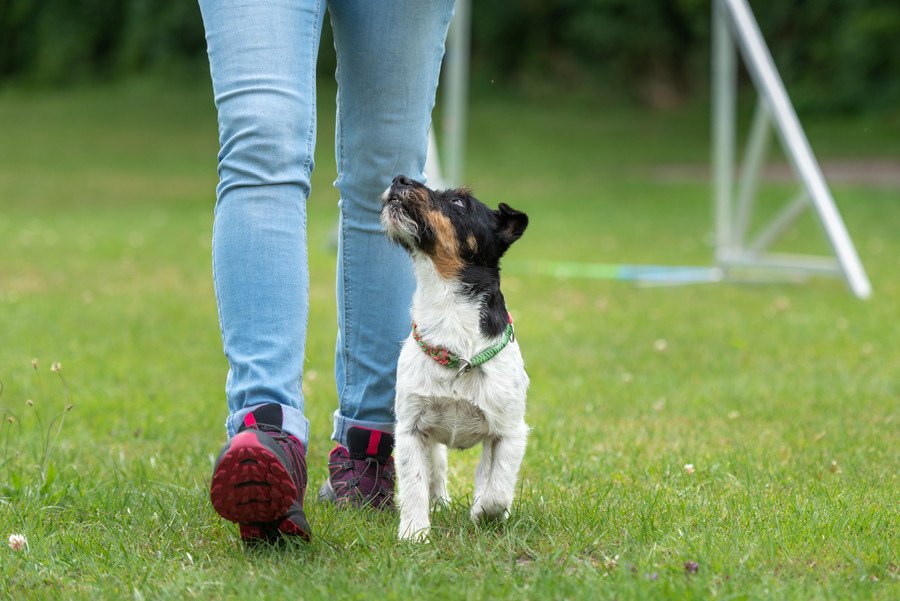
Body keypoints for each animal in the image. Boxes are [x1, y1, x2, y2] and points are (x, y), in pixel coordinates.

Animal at [378, 175, 528, 544]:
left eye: (459, 203)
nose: (399, 178)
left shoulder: (510, 432)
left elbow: (497, 488)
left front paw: (483, 512)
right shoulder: (411, 429)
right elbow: (414, 485)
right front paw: (414, 533)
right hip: (433, 443)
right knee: (436, 475)